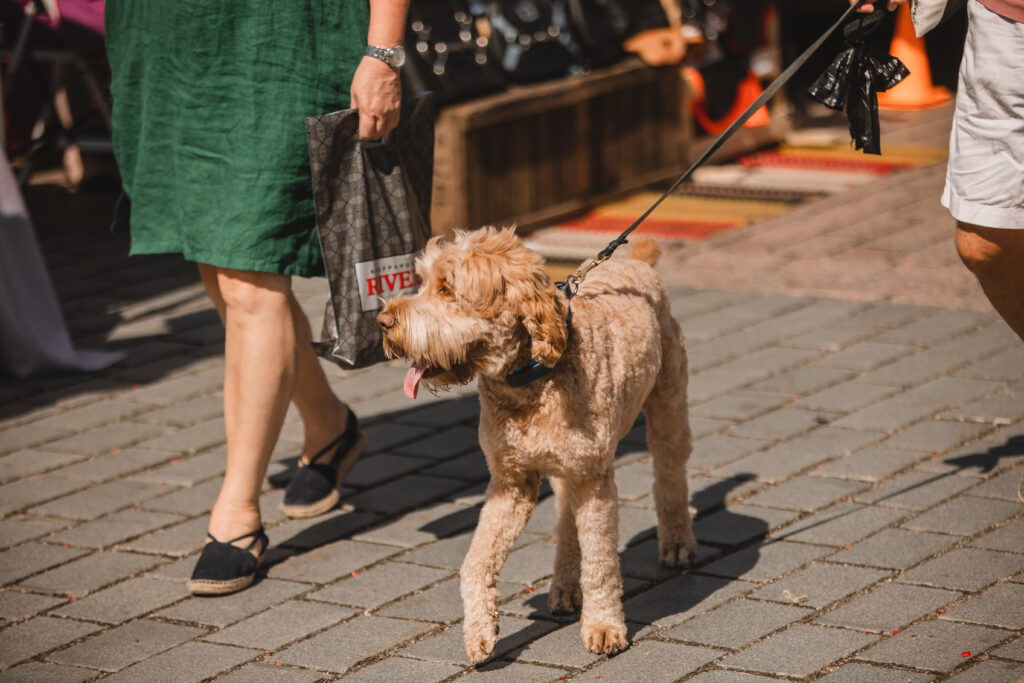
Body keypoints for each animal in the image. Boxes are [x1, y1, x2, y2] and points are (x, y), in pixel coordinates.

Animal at [376, 228, 696, 663]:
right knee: (566, 521)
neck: (530, 380)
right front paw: (480, 631)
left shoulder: (594, 479)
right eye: (423, 282)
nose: (383, 321)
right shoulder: (511, 483)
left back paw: (677, 543)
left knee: (669, 476)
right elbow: (475, 561)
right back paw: (564, 585)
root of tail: (636, 262)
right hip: (565, 472)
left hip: (668, 409)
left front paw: (604, 626)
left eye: (446, 288)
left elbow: (600, 561)